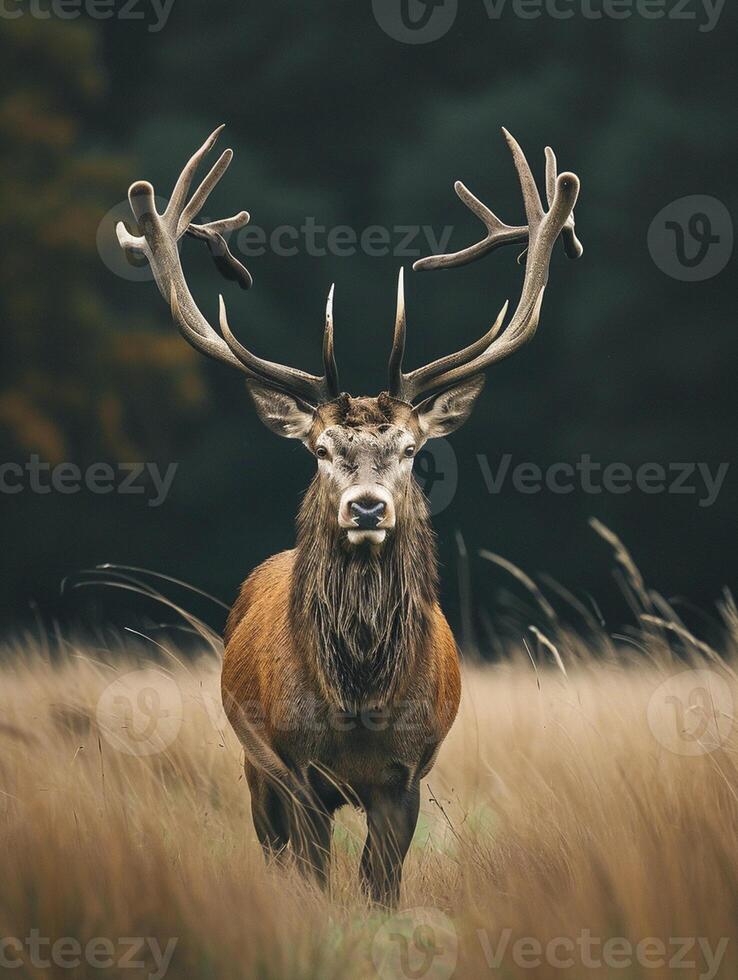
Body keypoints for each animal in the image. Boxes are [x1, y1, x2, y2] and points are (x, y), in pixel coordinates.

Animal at [116, 122, 580, 904]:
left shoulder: (406, 774)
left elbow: (380, 886)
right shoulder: (296, 766)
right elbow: (311, 872)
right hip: (252, 765)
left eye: (411, 449)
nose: (367, 507)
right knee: (274, 851)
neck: (360, 703)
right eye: (323, 449)